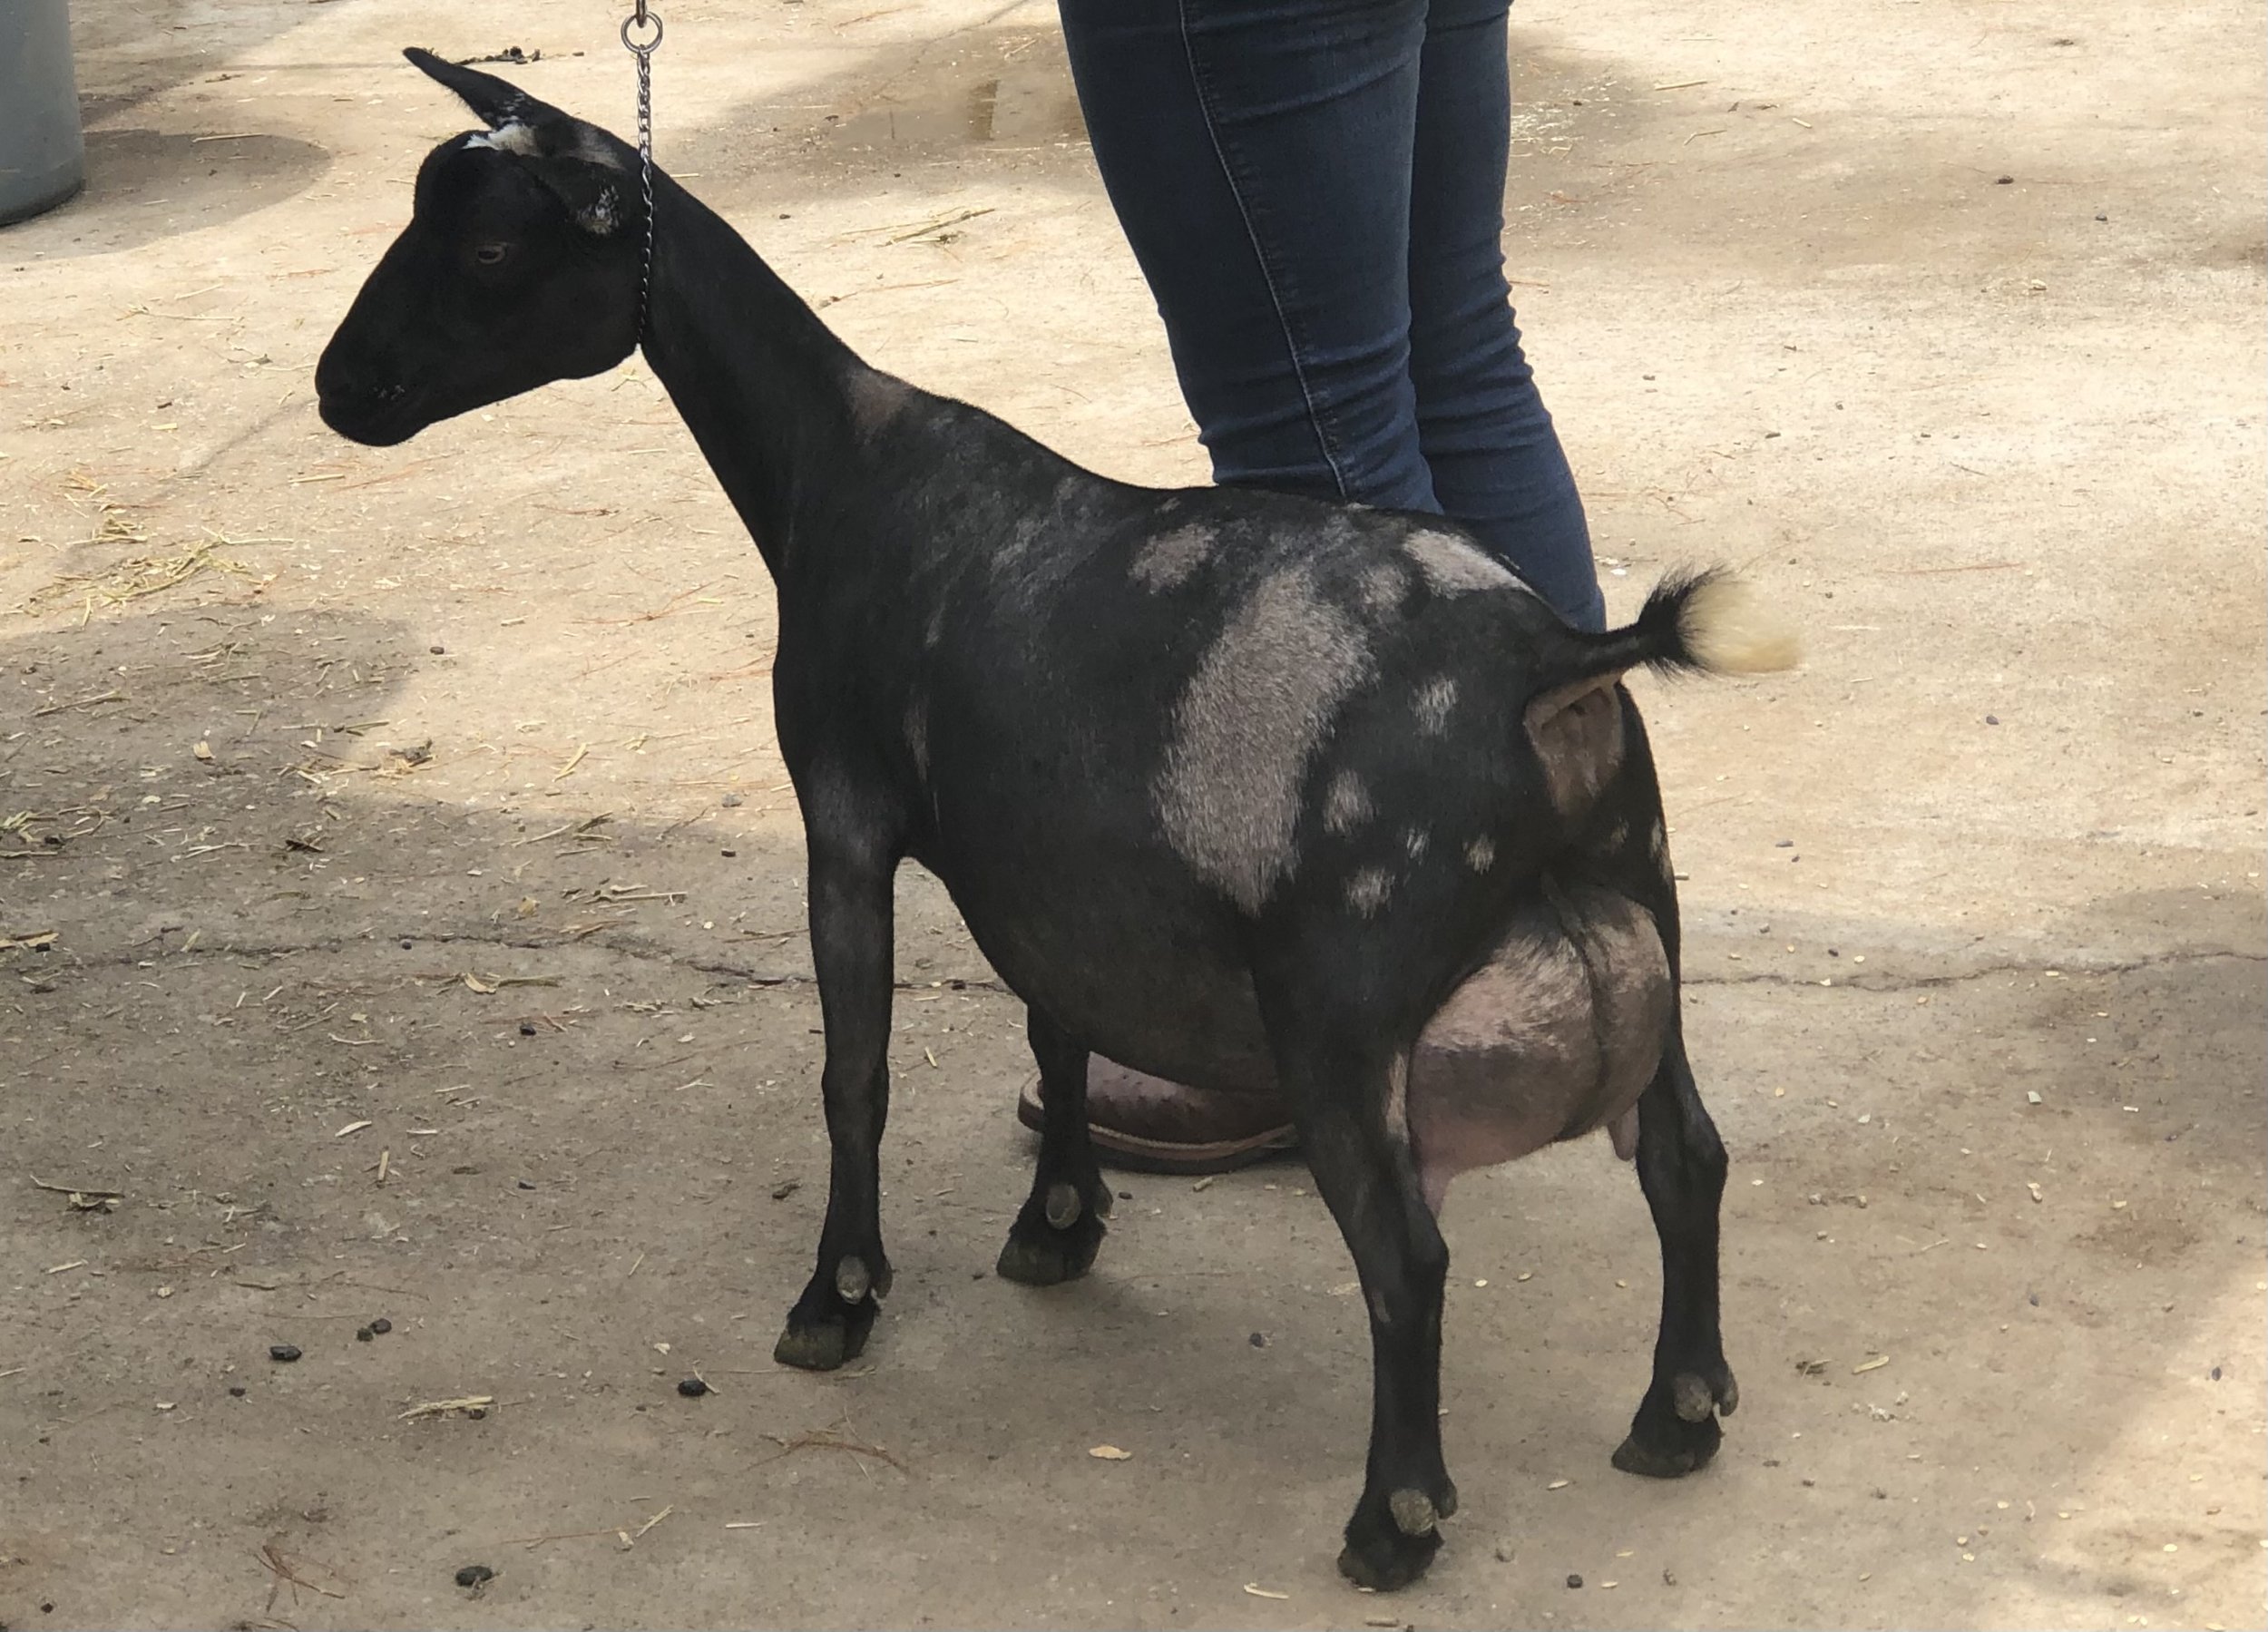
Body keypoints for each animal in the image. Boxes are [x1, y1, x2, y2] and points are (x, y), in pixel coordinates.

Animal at [316, 50, 1797, 1590]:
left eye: (492, 249)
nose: (339, 388)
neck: (837, 462)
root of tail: (1550, 664)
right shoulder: (1051, 865)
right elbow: (1056, 1024)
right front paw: (1059, 1221)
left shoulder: (844, 817)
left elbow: (856, 1071)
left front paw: (838, 1295)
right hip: (1642, 897)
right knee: (1686, 1157)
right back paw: (1677, 1412)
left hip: (1343, 999)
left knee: (1409, 1257)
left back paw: (1394, 1515)